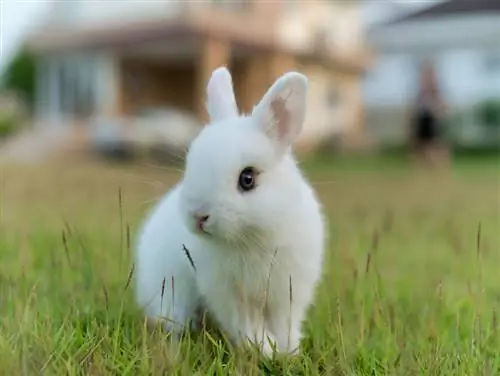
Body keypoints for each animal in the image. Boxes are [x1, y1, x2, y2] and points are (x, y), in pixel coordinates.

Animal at [135, 65, 326, 356]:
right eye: (190, 164)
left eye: (247, 178)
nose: (198, 216)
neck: (252, 237)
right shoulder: (229, 295)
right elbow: (247, 324)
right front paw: (265, 349)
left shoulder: (289, 291)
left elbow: (285, 323)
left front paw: (288, 351)